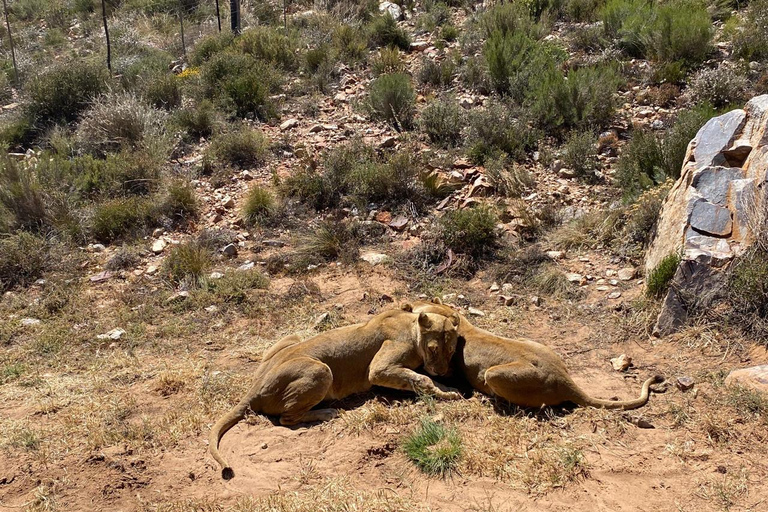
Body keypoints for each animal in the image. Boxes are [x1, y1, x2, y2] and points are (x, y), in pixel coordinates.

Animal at [208, 308, 462, 480]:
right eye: (433, 349)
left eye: (451, 350)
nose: (442, 370)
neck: (411, 326)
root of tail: (254, 389)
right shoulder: (379, 369)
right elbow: (423, 379)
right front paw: (447, 393)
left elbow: (425, 378)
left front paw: (449, 387)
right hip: (321, 370)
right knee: (286, 419)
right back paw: (329, 412)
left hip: (293, 339)